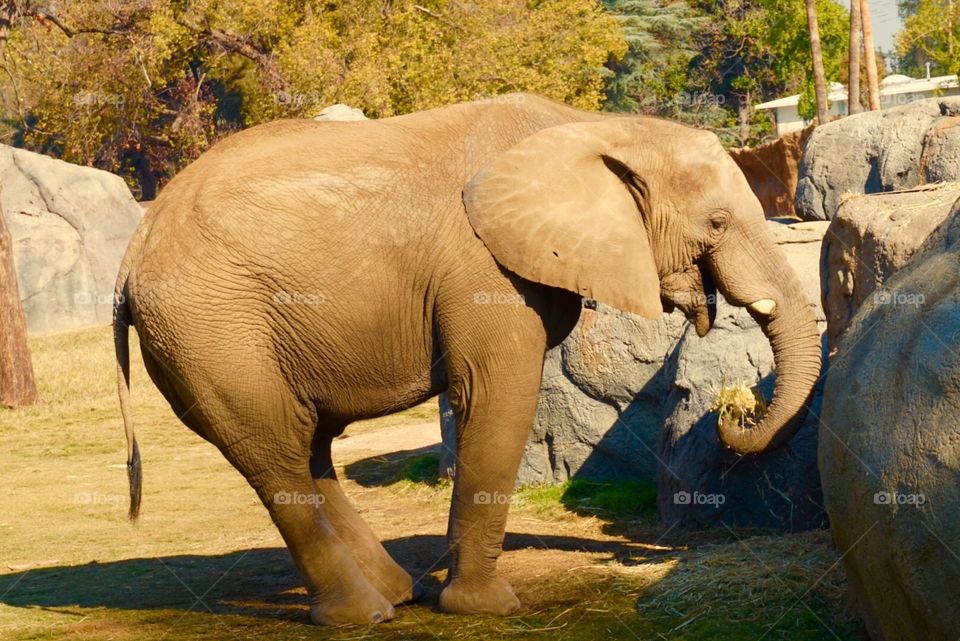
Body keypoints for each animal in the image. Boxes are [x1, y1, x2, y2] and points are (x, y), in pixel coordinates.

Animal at [112, 93, 822, 625]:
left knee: (306, 444)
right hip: (214, 331)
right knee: (274, 449)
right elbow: (498, 394)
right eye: (718, 223)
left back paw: (396, 595)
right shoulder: (483, 270)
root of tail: (132, 252)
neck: (592, 127)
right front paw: (488, 608)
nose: (732, 416)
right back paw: (363, 615)